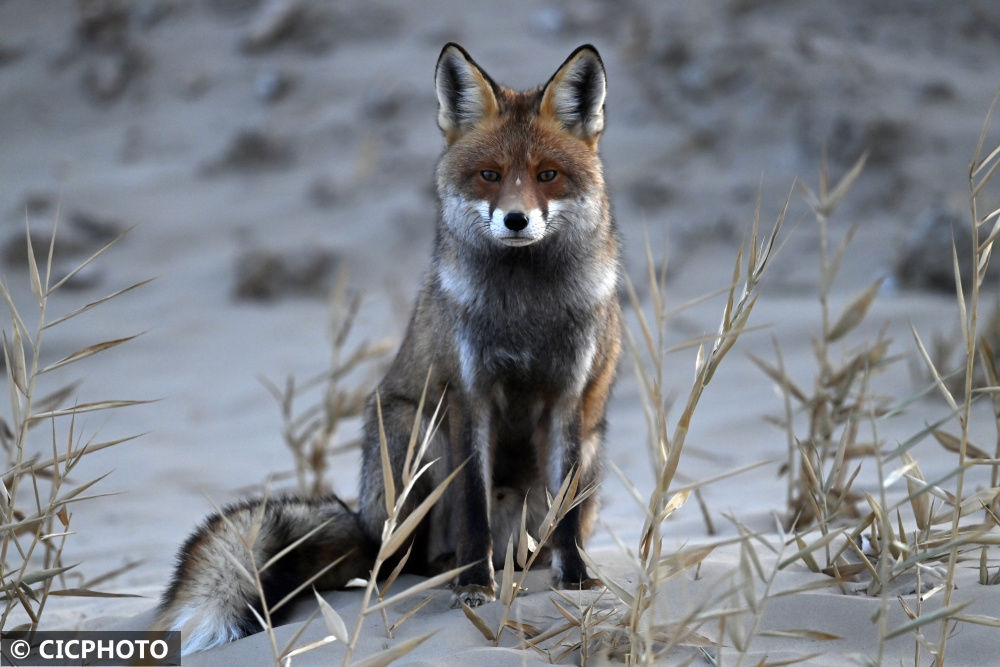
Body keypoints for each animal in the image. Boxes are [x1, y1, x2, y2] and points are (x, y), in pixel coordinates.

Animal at [152, 44, 620, 656]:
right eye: (490, 175)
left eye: (547, 176)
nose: (516, 219)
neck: (525, 311)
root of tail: (367, 525)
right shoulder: (468, 396)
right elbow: (472, 506)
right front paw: (474, 586)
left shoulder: (568, 397)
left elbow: (566, 521)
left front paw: (577, 582)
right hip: (415, 434)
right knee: (405, 560)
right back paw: (445, 568)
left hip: (589, 446)